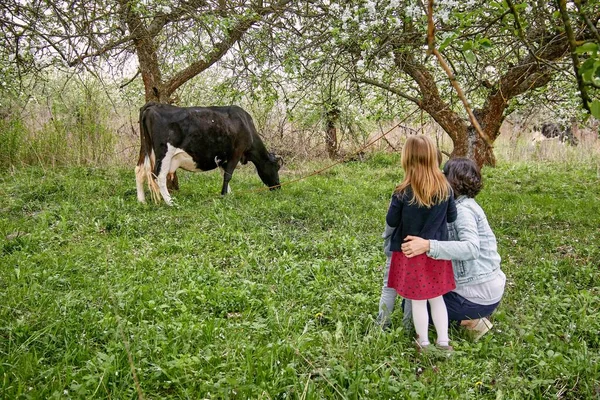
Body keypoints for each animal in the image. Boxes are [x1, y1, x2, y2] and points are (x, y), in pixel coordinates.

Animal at [136, 101, 284, 205]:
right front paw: (223, 195)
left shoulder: (224, 157)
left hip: (145, 149)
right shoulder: (236, 152)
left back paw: (141, 201)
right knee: (159, 176)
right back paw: (170, 202)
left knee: (139, 171)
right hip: (164, 152)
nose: (278, 187)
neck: (246, 124)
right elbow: (228, 176)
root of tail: (154, 104)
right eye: (276, 167)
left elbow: (224, 174)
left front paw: (228, 193)